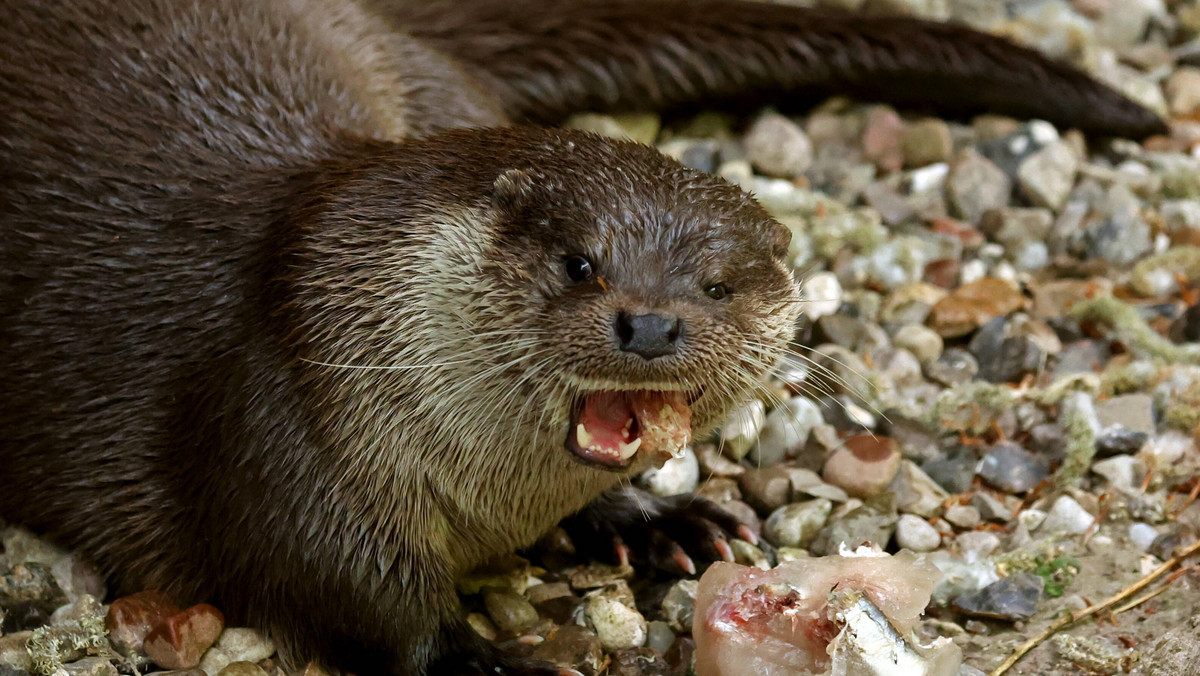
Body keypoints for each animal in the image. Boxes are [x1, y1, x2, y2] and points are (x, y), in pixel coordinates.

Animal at [0, 1, 1161, 676]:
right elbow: (362, 611)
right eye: (580, 262)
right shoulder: (283, 428)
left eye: (718, 283)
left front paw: (657, 520)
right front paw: (502, 662)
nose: (649, 321)